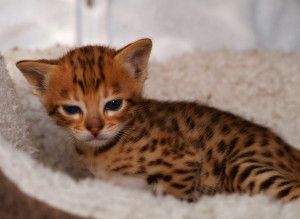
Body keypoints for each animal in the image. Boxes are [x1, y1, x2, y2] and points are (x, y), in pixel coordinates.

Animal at [15, 38, 300, 202]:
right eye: (72, 109)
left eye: (113, 104)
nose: (94, 129)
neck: (104, 150)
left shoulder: (183, 159)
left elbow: (176, 198)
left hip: (240, 167)